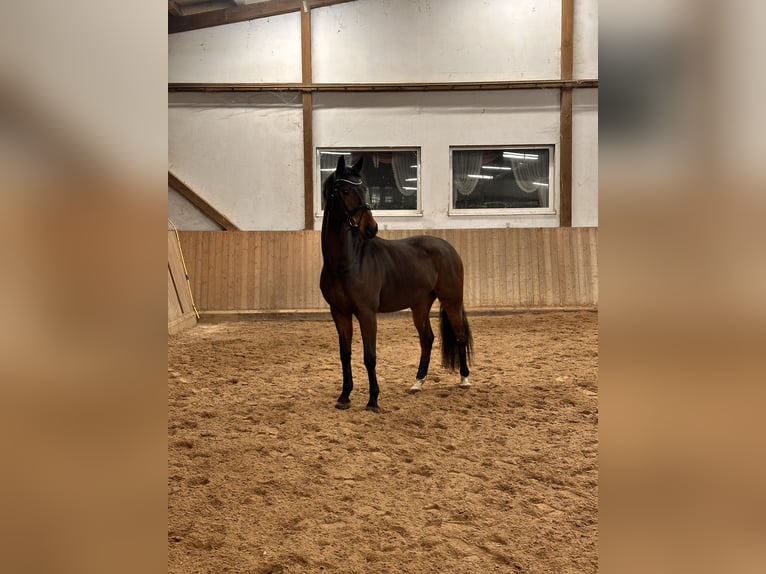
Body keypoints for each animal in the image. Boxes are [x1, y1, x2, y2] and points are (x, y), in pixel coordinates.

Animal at [319, 155, 474, 412]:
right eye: (345, 190)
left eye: (364, 188)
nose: (370, 227)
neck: (347, 262)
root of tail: (447, 248)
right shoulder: (339, 312)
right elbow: (345, 354)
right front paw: (344, 396)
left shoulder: (366, 313)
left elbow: (369, 356)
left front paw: (373, 400)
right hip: (420, 305)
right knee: (427, 339)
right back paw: (417, 383)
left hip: (451, 301)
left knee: (459, 335)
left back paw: (464, 379)